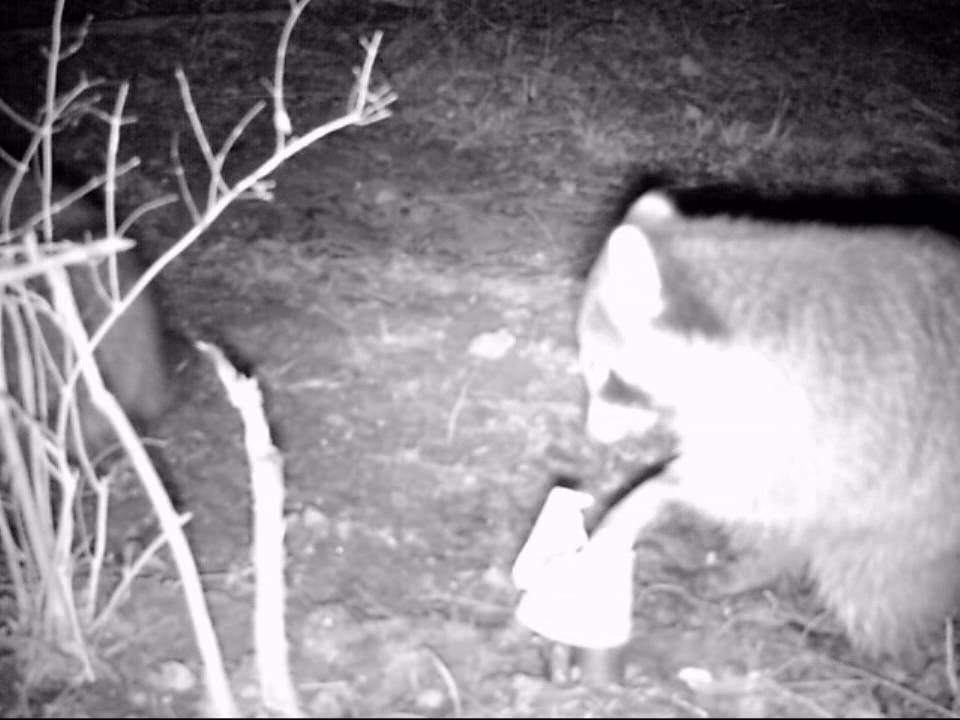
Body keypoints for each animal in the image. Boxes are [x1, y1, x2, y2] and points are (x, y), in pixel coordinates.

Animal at [578, 189, 960, 659]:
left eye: (605, 373)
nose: (594, 435)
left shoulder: (816, 428)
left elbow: (735, 486)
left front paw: (649, 494)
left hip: (918, 520)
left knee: (867, 577)